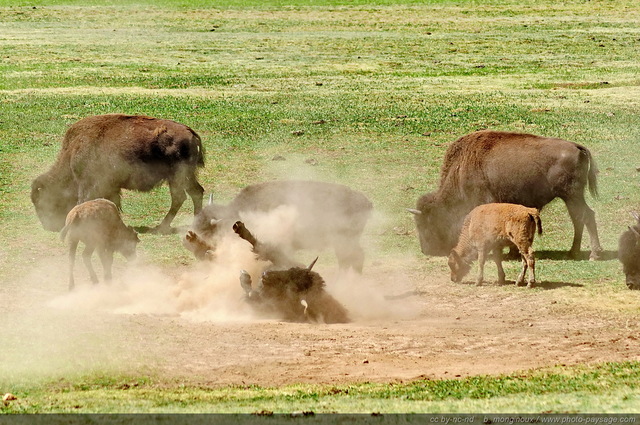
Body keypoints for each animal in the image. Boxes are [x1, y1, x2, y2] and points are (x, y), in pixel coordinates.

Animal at [30, 114, 205, 234]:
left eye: (43, 202)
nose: (49, 225)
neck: (72, 152)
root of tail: (191, 133)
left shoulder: (89, 185)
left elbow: (84, 202)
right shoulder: (111, 187)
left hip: (177, 177)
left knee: (180, 197)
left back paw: (161, 227)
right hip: (185, 177)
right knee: (196, 192)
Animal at [408, 131, 604, 260]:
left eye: (425, 223)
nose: (426, 250)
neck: (462, 168)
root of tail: (577, 147)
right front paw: (512, 253)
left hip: (572, 195)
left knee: (586, 216)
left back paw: (593, 254)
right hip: (571, 197)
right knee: (578, 219)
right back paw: (573, 252)